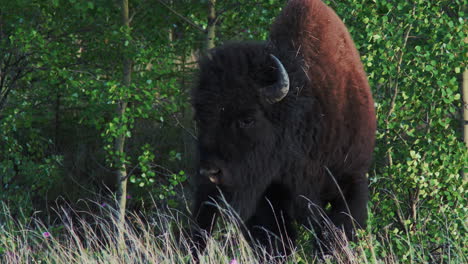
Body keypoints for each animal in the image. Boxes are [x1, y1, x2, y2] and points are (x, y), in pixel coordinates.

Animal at [188, 0, 374, 256]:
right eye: (200, 117)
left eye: (248, 118)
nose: (210, 171)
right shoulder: (267, 194)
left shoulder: (352, 180)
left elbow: (336, 235)